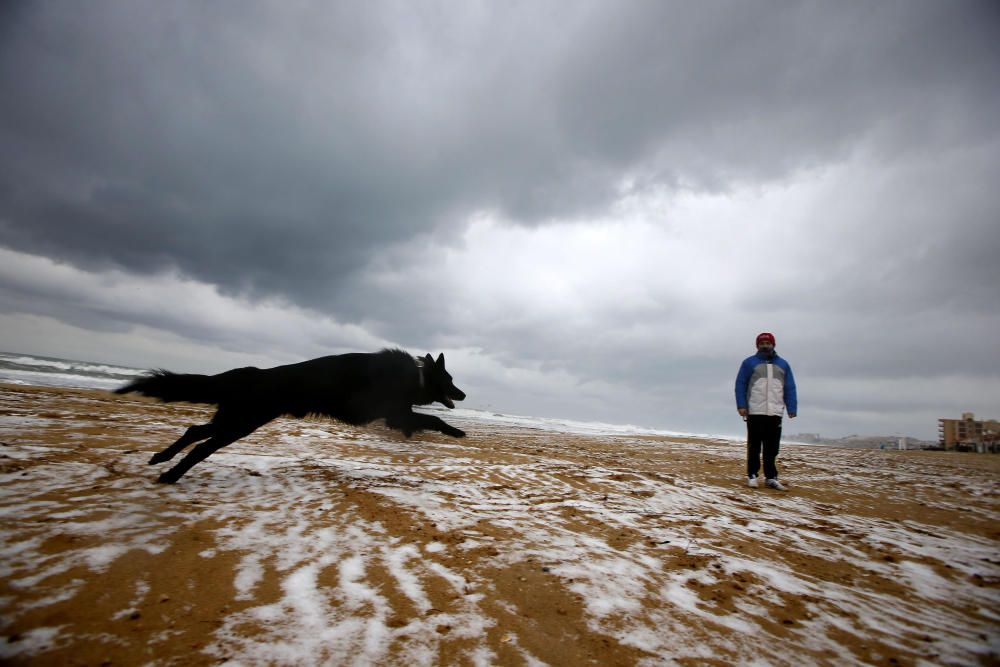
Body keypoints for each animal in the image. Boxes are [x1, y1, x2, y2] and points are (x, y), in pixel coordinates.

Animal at [115, 350, 466, 486]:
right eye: (449, 380)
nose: (462, 395)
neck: (416, 377)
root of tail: (253, 374)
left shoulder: (398, 416)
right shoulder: (397, 414)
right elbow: (432, 420)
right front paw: (456, 432)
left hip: (234, 419)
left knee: (194, 430)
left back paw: (161, 459)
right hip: (241, 423)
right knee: (202, 446)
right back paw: (172, 474)